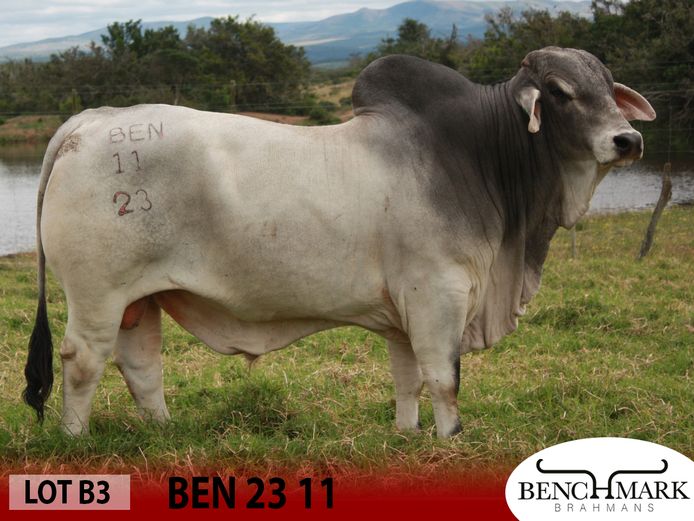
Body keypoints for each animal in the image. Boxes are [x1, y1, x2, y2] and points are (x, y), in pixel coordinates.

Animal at [24, 47, 655, 438]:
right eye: (560, 91)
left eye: (608, 88)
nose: (627, 140)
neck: (480, 156)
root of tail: (87, 121)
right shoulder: (440, 293)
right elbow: (443, 376)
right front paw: (450, 439)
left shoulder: (404, 309)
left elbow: (408, 376)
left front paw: (408, 434)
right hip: (98, 295)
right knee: (83, 361)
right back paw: (76, 440)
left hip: (139, 299)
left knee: (140, 365)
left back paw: (164, 434)